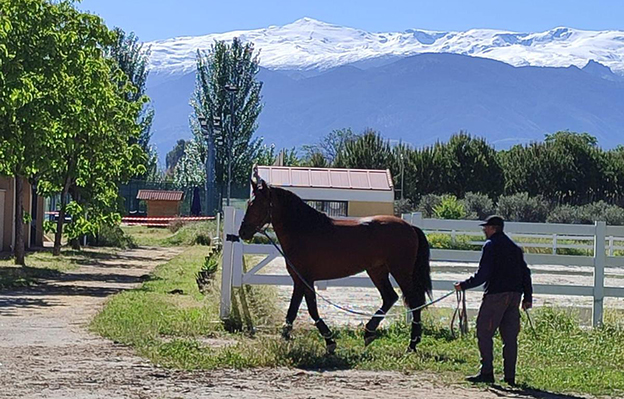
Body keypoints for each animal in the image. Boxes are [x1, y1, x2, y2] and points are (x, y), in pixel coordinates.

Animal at [236, 174, 432, 354]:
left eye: (256, 204)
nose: (242, 231)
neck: (304, 229)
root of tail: (410, 227)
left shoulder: (306, 279)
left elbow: (311, 309)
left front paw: (329, 341)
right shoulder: (300, 280)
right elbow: (293, 309)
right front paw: (285, 336)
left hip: (400, 271)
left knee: (414, 301)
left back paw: (412, 344)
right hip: (377, 271)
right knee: (390, 297)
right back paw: (369, 332)